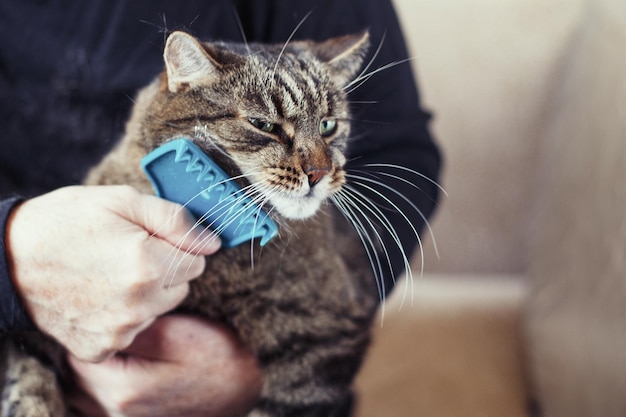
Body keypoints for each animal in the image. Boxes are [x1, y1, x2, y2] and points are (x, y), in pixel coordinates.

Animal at [0, 30, 426, 416]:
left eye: (328, 125)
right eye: (263, 124)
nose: (320, 173)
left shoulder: (323, 341)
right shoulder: (37, 332)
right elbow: (28, 381)